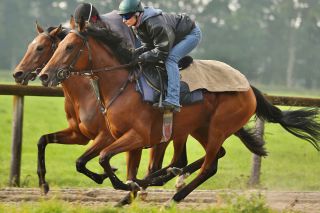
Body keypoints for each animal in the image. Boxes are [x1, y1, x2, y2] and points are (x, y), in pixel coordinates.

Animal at [38, 17, 320, 203]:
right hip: (198, 128)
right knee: (203, 158)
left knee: (209, 166)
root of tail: (248, 86)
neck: (121, 85)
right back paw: (163, 180)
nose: (44, 75)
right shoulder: (118, 136)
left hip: (218, 127)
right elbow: (97, 161)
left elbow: (104, 158)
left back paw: (174, 196)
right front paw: (128, 188)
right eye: (58, 46)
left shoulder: (136, 136)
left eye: (69, 47)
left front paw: (121, 184)